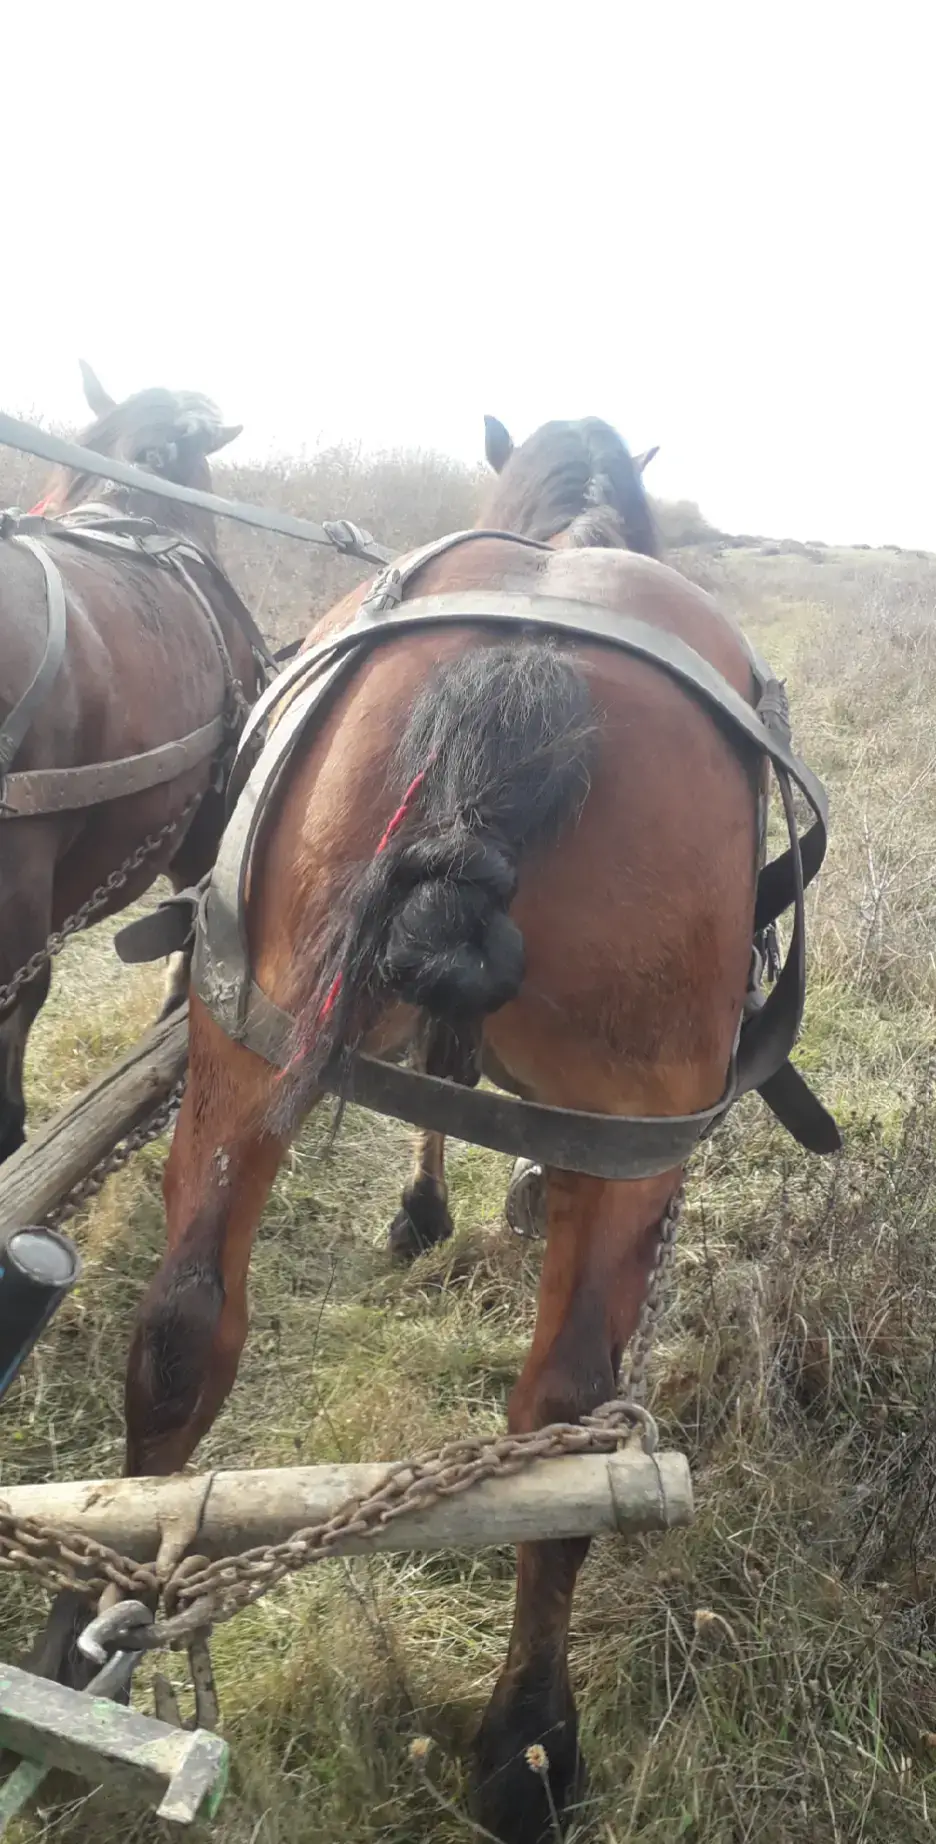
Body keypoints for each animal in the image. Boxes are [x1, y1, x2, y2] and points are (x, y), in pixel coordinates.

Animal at [39, 413, 829, 1842]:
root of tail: (526, 672)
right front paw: (448, 1204)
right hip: (636, 1132)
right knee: (565, 1423)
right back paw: (528, 1746)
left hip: (245, 1047)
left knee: (183, 1334)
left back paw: (78, 1622)